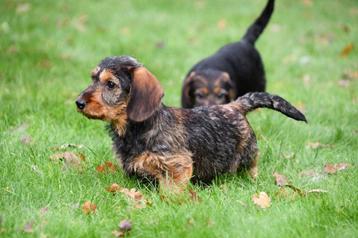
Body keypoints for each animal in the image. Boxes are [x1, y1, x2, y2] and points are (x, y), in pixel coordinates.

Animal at [75, 56, 304, 193]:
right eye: (93, 78)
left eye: (110, 84)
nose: (78, 103)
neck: (139, 129)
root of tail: (234, 106)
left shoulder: (177, 167)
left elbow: (171, 191)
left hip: (247, 157)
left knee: (251, 168)